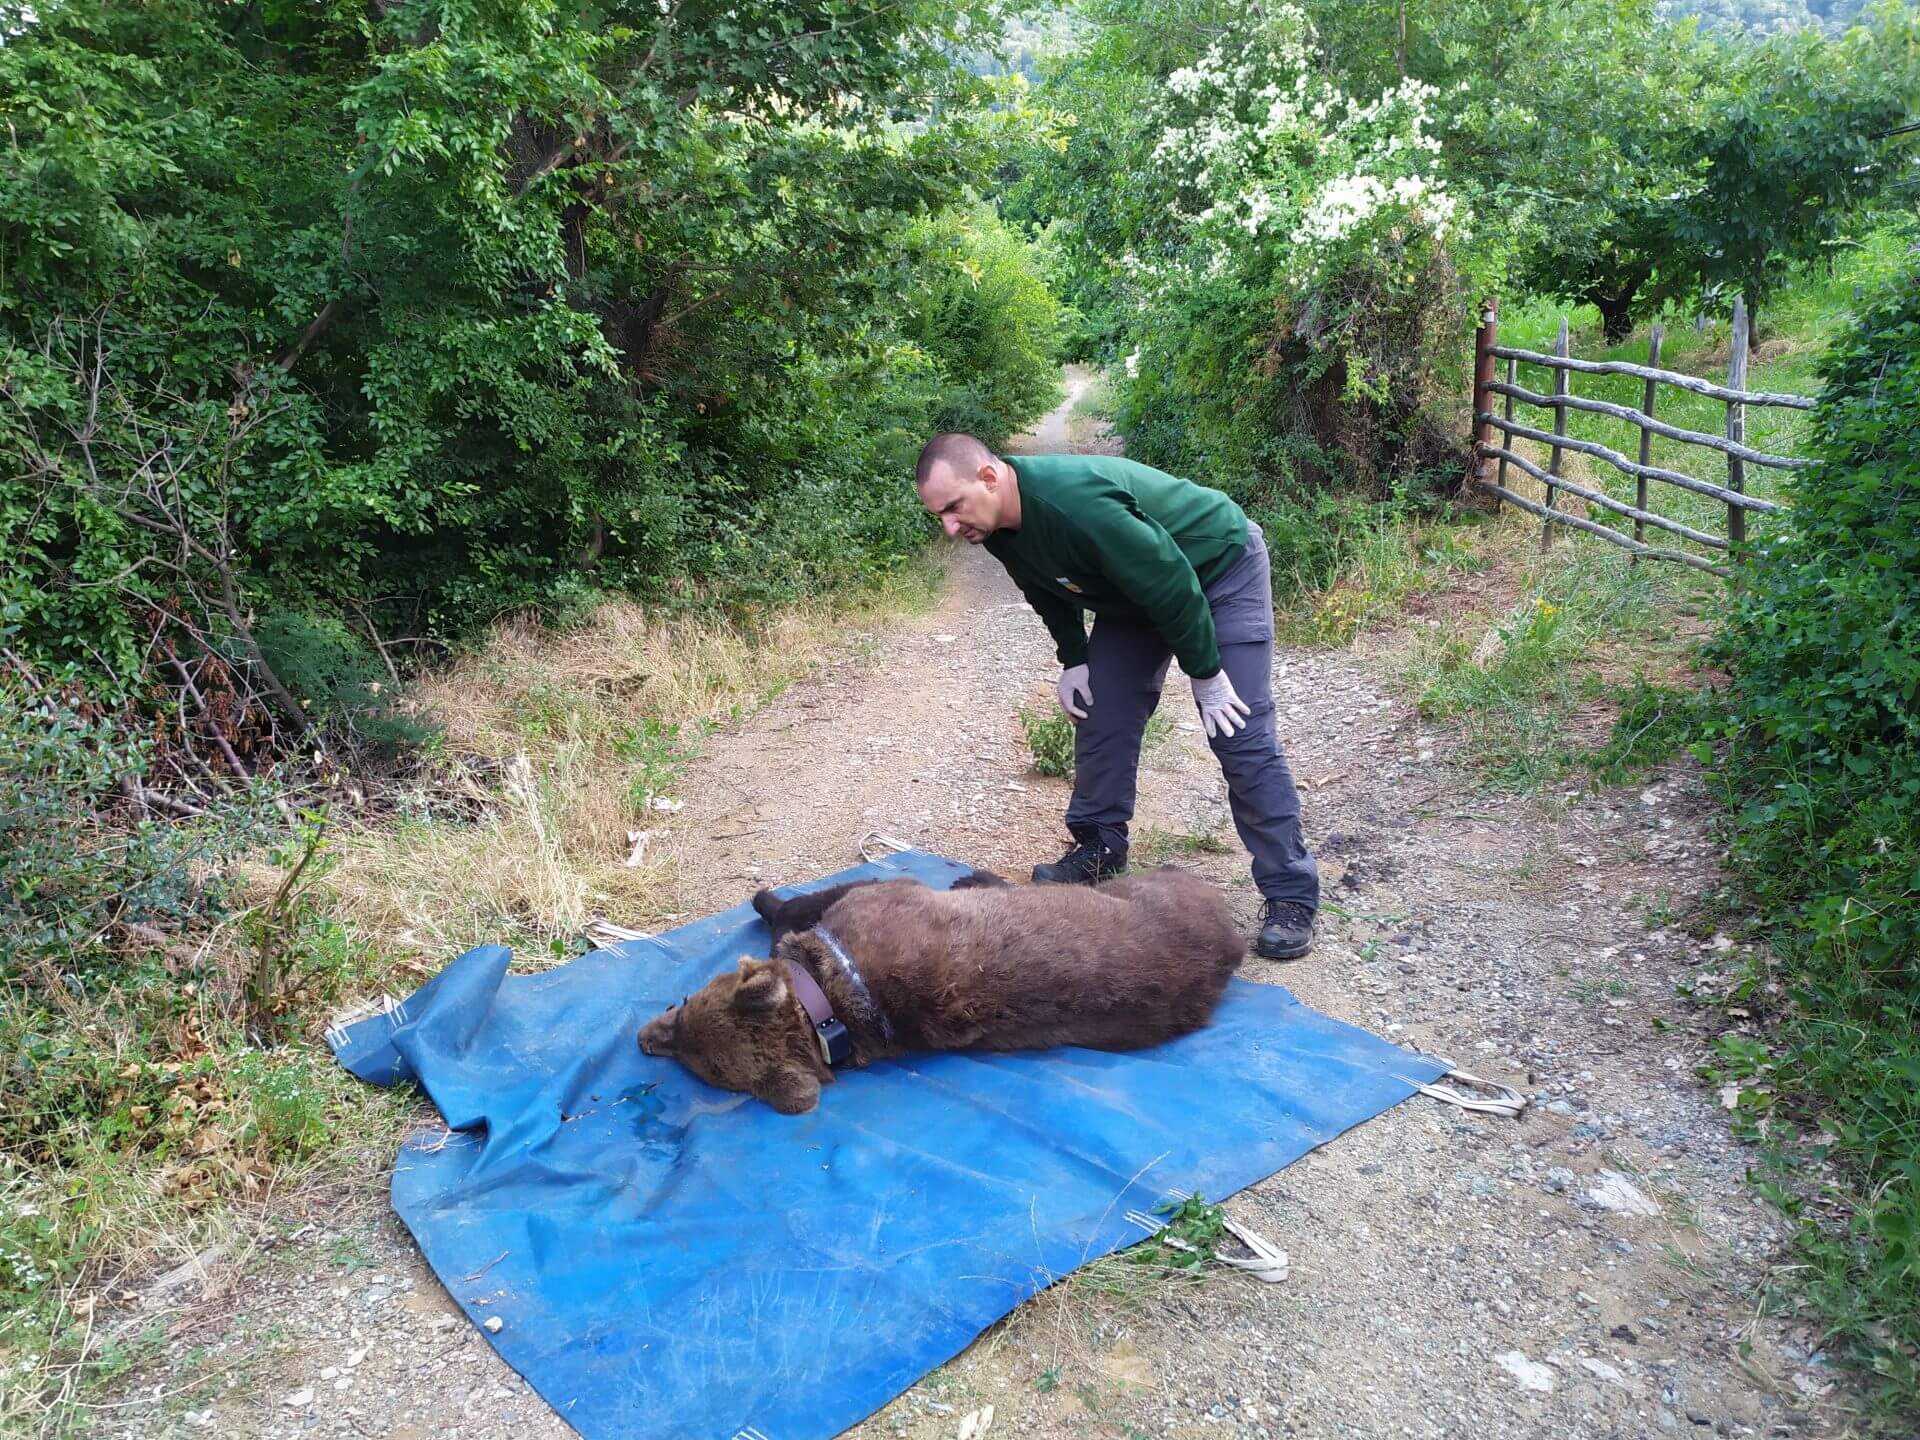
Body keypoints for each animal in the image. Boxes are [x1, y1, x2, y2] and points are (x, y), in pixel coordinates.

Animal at [637, 867, 1251, 1113]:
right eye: (707, 1070)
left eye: (687, 1001)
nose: (646, 1038)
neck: (828, 1008)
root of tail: (1231, 942)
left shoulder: (879, 895)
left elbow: (799, 905)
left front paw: (767, 901)